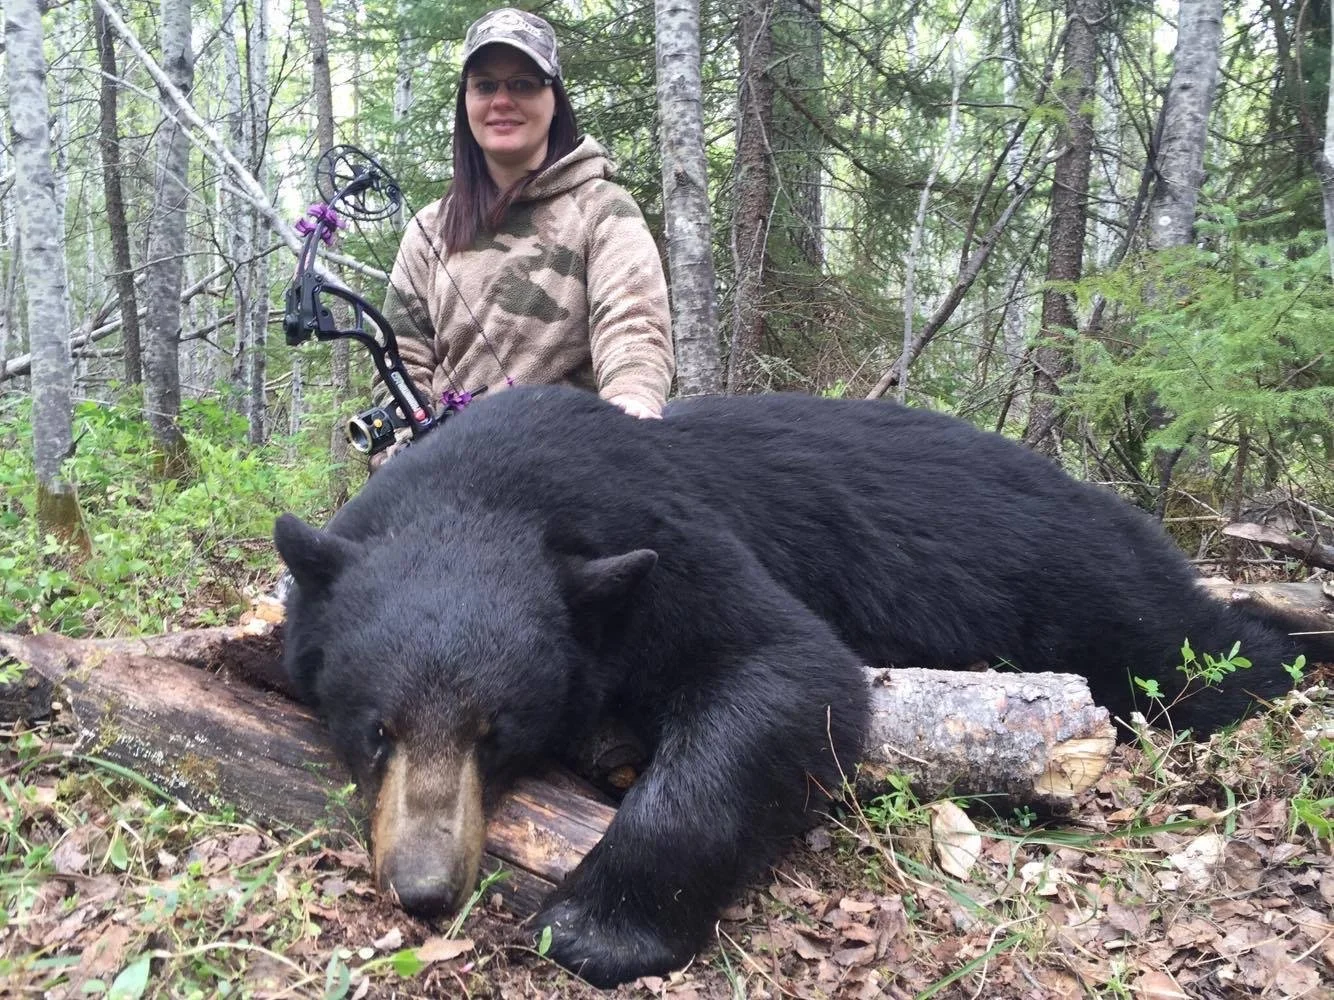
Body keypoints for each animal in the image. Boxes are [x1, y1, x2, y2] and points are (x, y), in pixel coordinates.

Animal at [274, 385, 1330, 988]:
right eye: (375, 726)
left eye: (498, 731)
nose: (423, 887)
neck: (493, 484)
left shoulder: (665, 533)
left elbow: (785, 671)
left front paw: (596, 928)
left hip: (1088, 587)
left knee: (1199, 653)